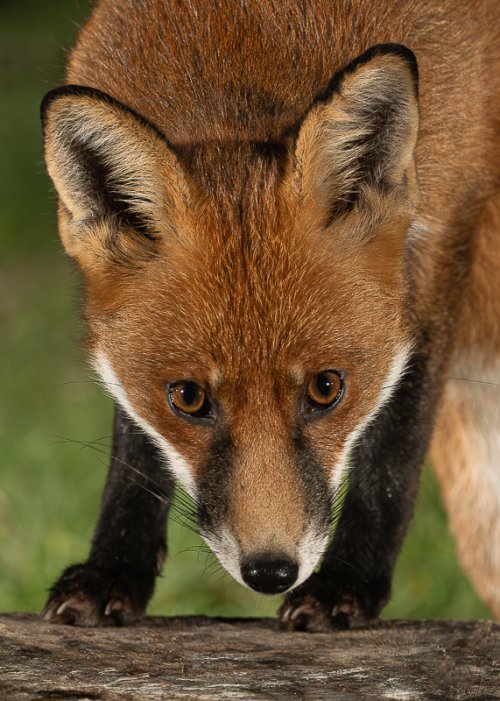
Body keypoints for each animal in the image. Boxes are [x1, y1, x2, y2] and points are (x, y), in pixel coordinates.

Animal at [40, 0, 500, 628]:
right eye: (187, 398)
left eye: (327, 388)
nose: (270, 572)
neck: (239, 37)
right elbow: (137, 448)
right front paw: (114, 570)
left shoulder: (444, 231)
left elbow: (394, 446)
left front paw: (347, 585)